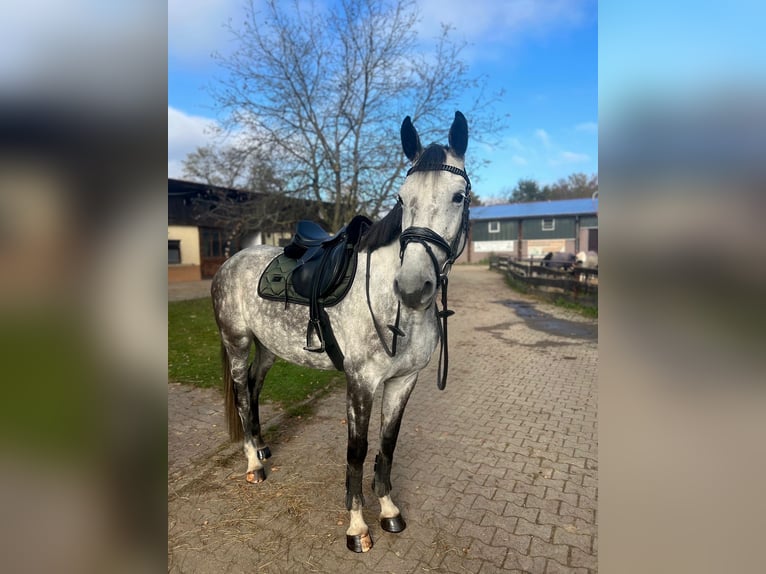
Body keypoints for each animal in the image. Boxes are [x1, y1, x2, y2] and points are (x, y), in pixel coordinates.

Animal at [211, 112, 471, 553]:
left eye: (458, 196)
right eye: (402, 198)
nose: (413, 287)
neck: (391, 303)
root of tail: (230, 262)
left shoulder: (404, 380)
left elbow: (387, 443)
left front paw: (389, 511)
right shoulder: (361, 381)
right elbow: (357, 450)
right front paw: (357, 527)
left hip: (268, 350)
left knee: (255, 389)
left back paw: (261, 450)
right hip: (238, 344)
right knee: (243, 397)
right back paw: (252, 465)